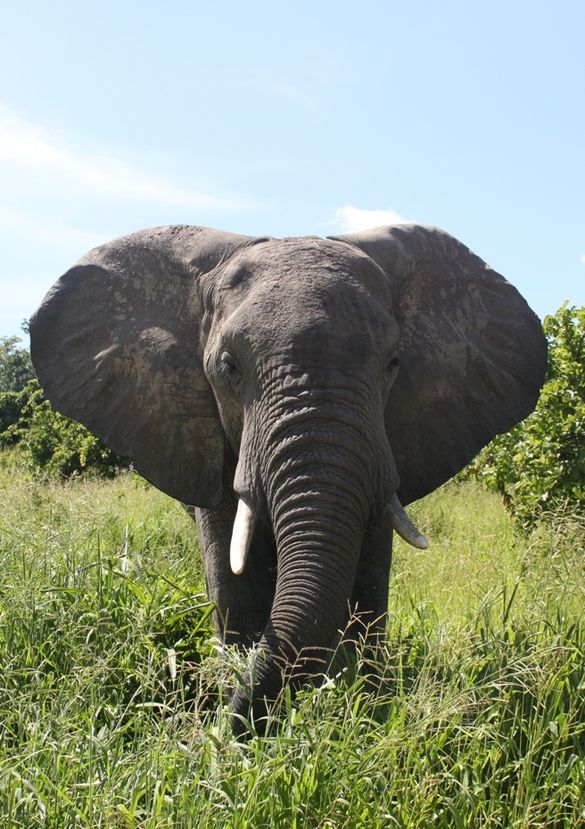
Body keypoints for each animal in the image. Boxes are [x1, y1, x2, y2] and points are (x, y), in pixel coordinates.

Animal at [30, 222, 547, 732]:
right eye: (229, 367)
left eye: (393, 364)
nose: (222, 732)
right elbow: (229, 559)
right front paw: (237, 676)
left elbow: (370, 564)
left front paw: (364, 695)